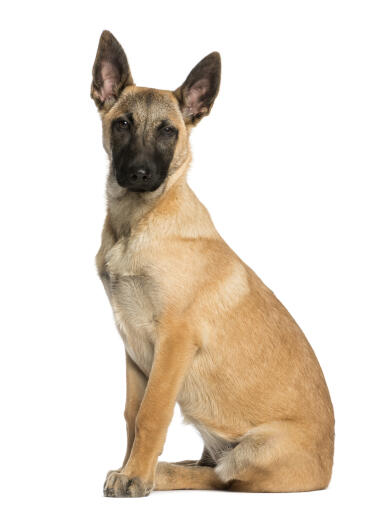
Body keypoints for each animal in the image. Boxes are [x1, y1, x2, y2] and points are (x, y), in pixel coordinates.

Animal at [91, 30, 334, 498]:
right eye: (123, 123)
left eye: (168, 132)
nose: (141, 174)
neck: (138, 223)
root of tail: (329, 468)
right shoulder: (133, 346)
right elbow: (132, 414)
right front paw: (132, 468)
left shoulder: (174, 340)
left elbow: (152, 413)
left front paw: (137, 475)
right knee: (210, 468)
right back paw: (169, 467)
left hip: (258, 448)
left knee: (223, 478)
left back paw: (164, 473)